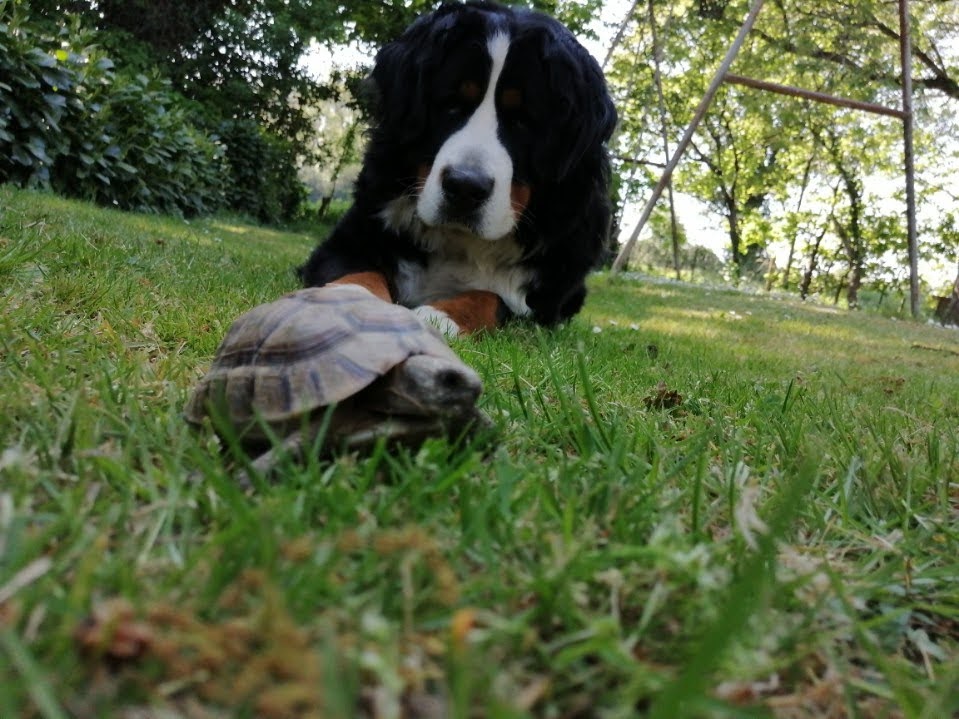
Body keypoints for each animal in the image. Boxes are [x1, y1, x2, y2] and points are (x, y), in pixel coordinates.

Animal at [298, 0, 617, 336]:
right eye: (451, 104)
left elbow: (491, 298)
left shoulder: (543, 306)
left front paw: (439, 316)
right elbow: (360, 273)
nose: (465, 187)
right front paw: (353, 301)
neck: (460, 243)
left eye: (522, 120)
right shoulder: (349, 240)